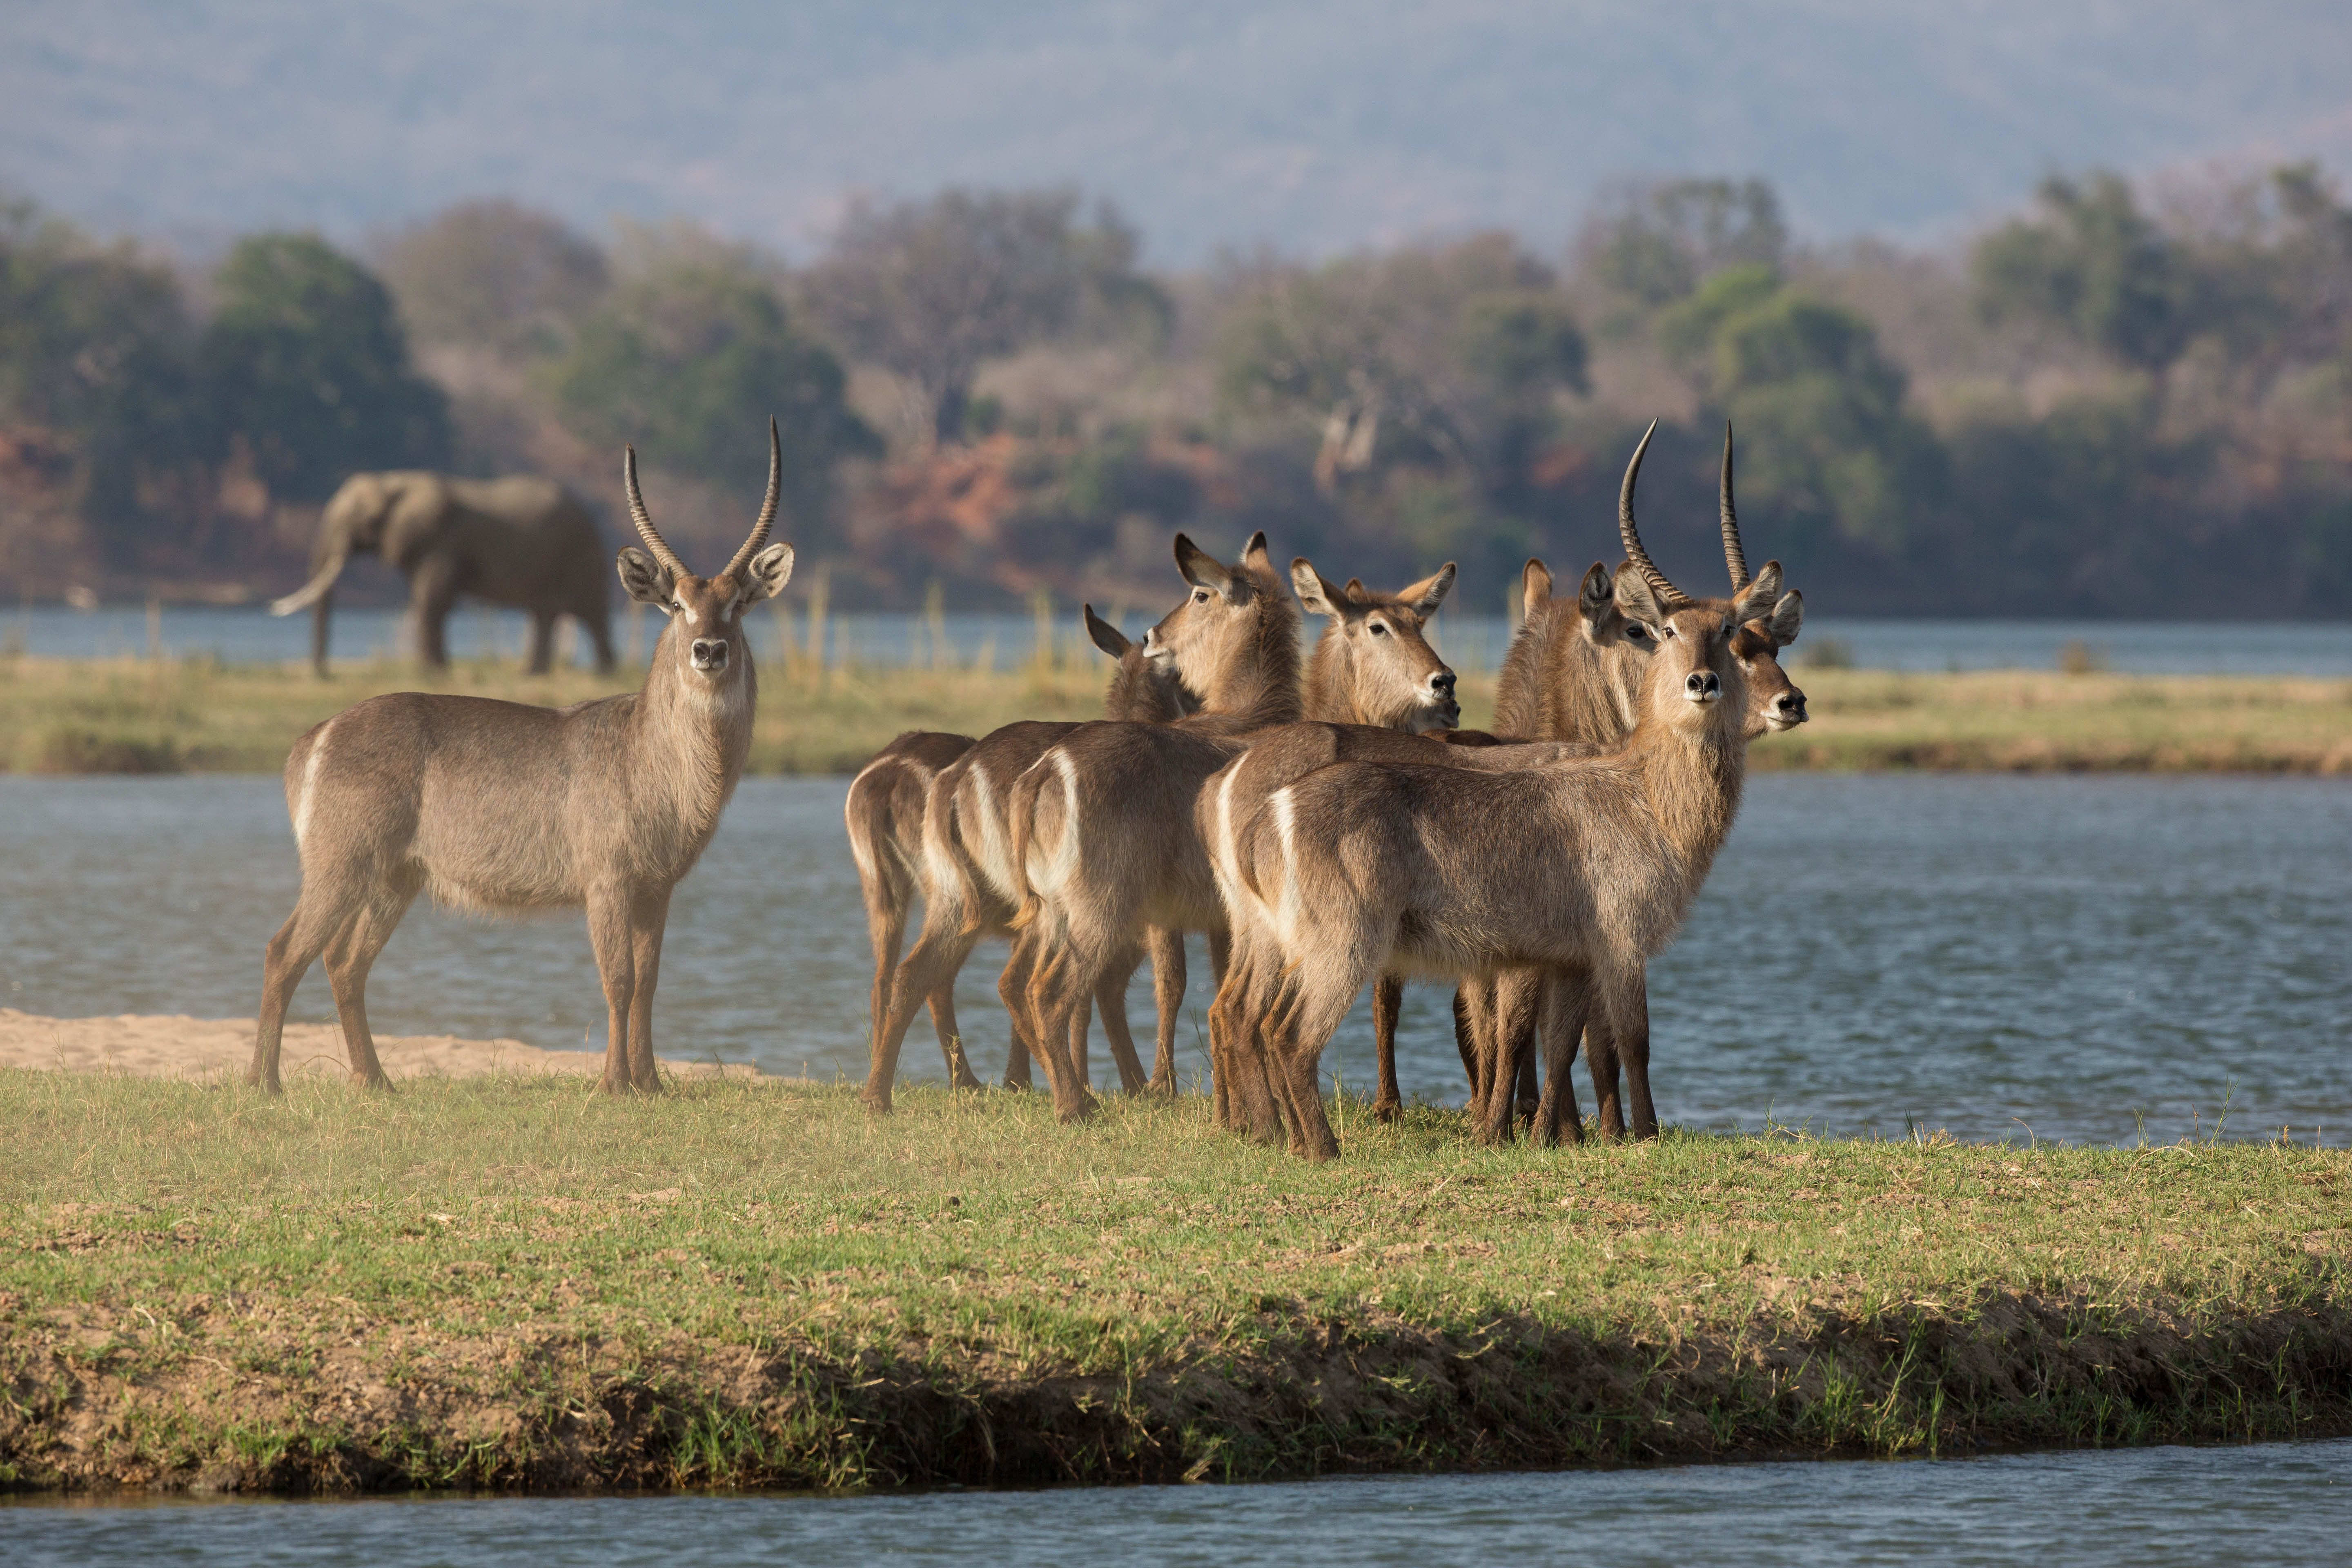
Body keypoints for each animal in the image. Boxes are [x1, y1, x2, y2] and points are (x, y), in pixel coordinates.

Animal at [249, 422, 795, 1096]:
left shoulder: (657, 888)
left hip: (395, 877)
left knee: (344, 963)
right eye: (675, 605)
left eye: (739, 602)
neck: (651, 757)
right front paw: (614, 1085)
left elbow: (648, 982)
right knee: (284, 951)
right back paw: (265, 1084)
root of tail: (318, 733)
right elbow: (618, 980)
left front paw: (651, 1085)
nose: (709, 650)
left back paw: (377, 1082)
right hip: (340, 864)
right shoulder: (607, 881)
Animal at [997, 554, 1459, 1123]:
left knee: (1021, 986)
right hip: (1100, 907)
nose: (1445, 686)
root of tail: (1044, 771)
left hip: (1052, 911)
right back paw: (1076, 1106)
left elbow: (1224, 994)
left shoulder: (1227, 920)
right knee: (1051, 993)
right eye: (1379, 627)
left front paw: (1227, 1108)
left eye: (1421, 623)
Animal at [1207, 429, 1783, 1159]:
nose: (1703, 683)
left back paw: (1287, 1138)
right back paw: (1321, 1148)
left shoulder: (1566, 958)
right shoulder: (1621, 944)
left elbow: (1560, 1043)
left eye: (1732, 631)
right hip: (1343, 943)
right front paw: (1642, 1137)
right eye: (1664, 631)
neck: (1644, 790)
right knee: (1287, 1034)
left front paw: (1542, 1135)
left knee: (1254, 1019)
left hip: (1283, 938)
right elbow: (1630, 1042)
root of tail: (1266, 805)